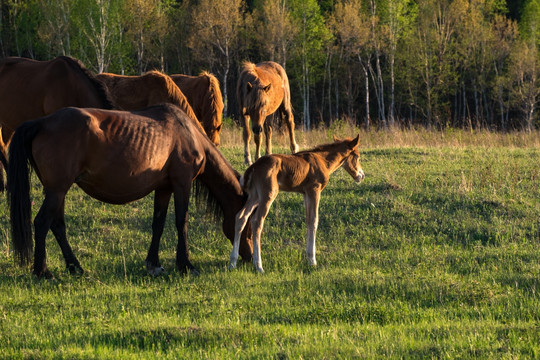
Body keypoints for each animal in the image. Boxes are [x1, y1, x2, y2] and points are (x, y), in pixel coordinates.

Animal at [7, 102, 253, 278]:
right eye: (248, 226)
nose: (249, 257)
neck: (188, 134)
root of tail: (42, 123)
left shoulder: (164, 188)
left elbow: (158, 224)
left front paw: (154, 265)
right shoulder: (181, 183)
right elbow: (181, 222)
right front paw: (186, 265)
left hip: (57, 191)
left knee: (57, 225)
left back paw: (75, 267)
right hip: (57, 190)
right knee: (42, 223)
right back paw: (42, 271)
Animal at [228, 135, 362, 272]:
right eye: (357, 156)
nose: (361, 176)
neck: (323, 161)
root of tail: (253, 167)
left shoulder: (305, 193)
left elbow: (308, 221)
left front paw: (308, 257)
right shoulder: (314, 189)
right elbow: (314, 221)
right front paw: (313, 260)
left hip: (254, 195)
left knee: (241, 217)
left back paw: (232, 262)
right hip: (268, 194)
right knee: (256, 220)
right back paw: (259, 265)